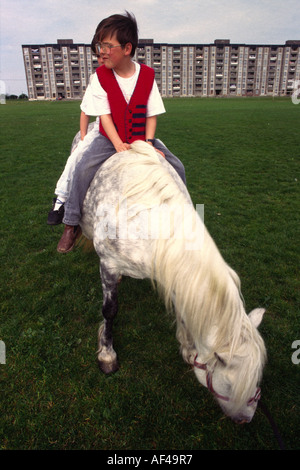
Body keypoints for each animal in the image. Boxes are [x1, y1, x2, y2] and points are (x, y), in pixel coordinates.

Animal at [80, 141, 268, 424]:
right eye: (232, 385)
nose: (246, 419)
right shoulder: (109, 265)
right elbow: (109, 311)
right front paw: (107, 354)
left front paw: (188, 349)